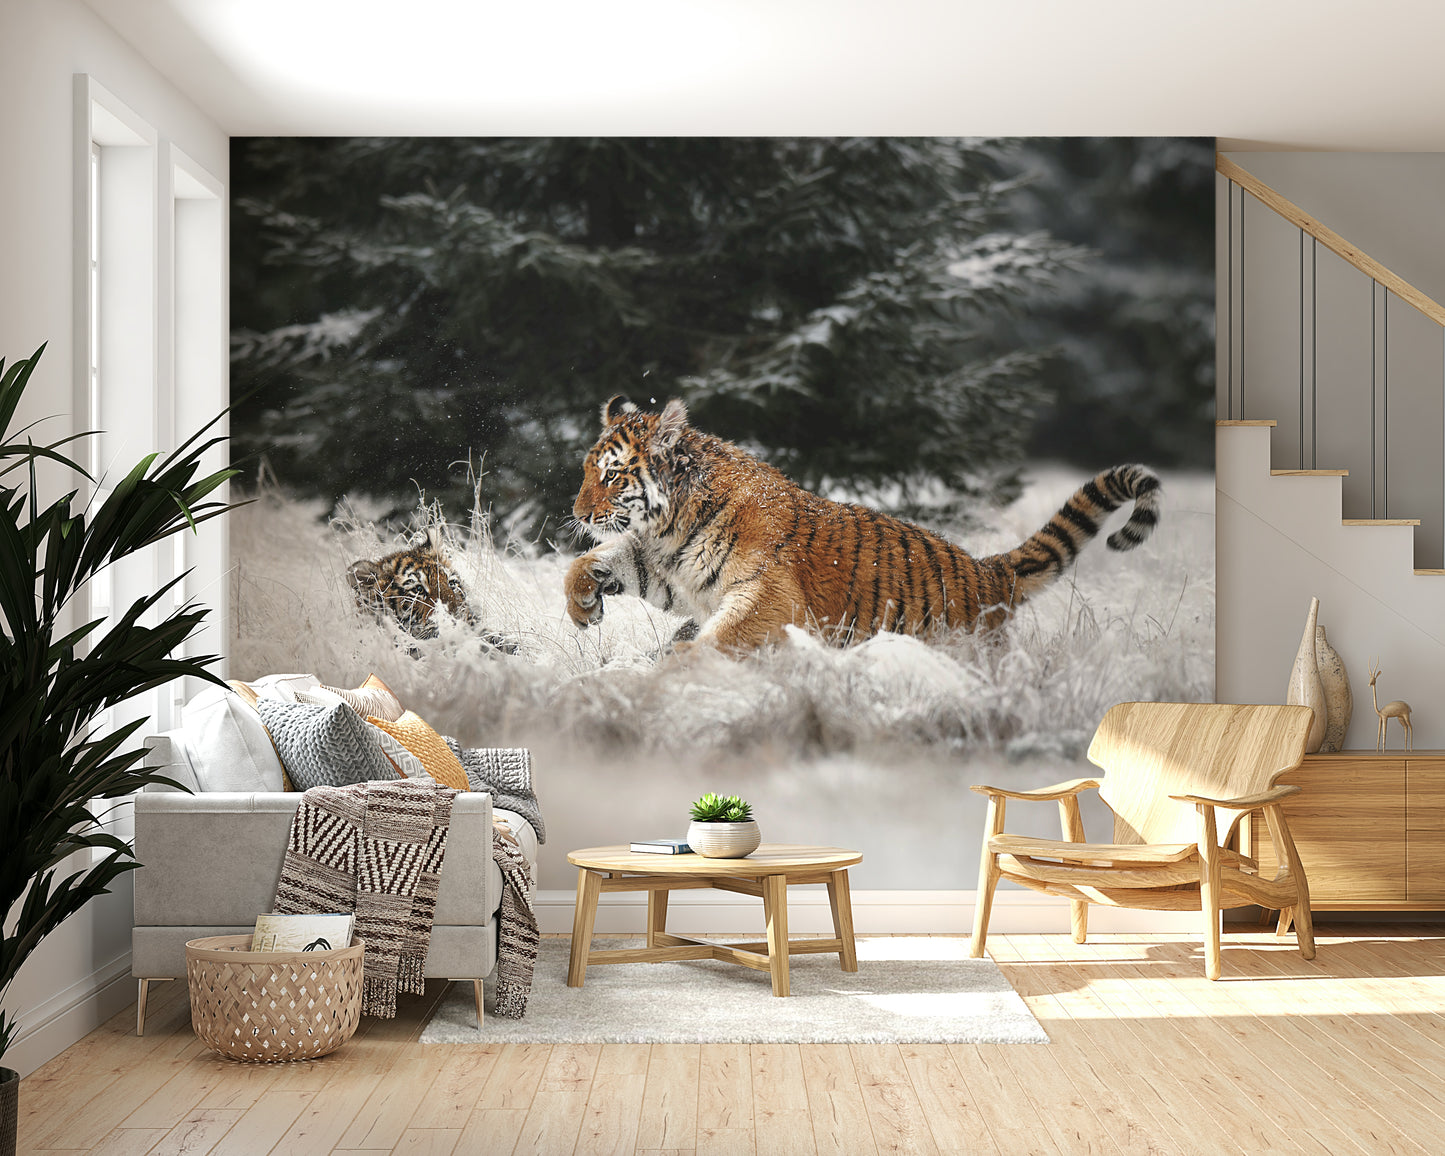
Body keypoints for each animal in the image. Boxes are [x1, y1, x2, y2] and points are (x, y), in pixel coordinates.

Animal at [565, 395, 1161, 653]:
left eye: (613, 476)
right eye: (588, 470)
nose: (578, 514)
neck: (672, 525)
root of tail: (992, 571)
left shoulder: (768, 596)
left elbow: (721, 637)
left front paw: (677, 668)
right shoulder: (668, 568)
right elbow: (595, 560)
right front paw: (583, 605)